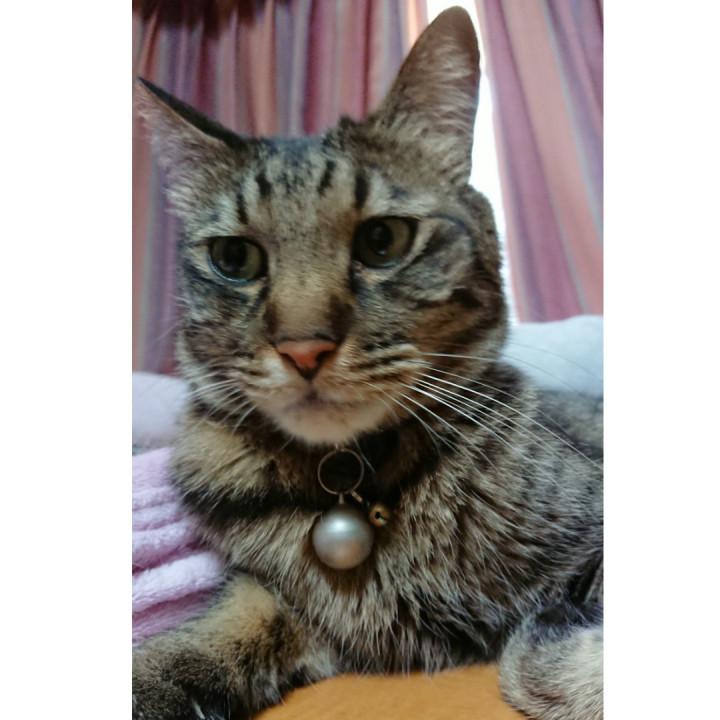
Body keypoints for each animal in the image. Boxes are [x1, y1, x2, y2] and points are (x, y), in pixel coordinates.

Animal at [133, 7, 603, 720]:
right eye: (235, 258)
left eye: (383, 241)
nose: (303, 346)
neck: (350, 482)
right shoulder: (279, 601)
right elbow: (211, 631)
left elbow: (546, 658)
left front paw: (550, 643)